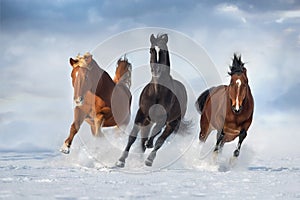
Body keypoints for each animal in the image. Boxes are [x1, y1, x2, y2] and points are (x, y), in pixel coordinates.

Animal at [115, 33, 188, 167]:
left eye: (163, 50)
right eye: (151, 50)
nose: (156, 71)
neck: (157, 91)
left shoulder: (163, 119)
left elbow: (156, 136)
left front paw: (149, 145)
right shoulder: (141, 114)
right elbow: (132, 137)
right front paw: (121, 160)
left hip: (172, 123)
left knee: (160, 140)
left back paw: (149, 159)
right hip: (147, 121)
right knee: (144, 140)